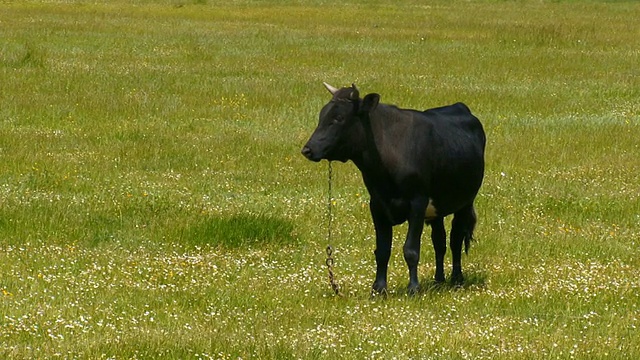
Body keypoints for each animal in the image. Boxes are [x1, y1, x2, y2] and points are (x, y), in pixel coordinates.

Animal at [300, 83, 484, 294]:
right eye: (322, 115)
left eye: (339, 118)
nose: (307, 149)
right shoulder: (377, 204)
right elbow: (382, 251)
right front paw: (379, 289)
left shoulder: (417, 202)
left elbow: (411, 250)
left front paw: (413, 289)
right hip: (436, 208)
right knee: (439, 241)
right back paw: (438, 280)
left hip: (465, 201)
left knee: (455, 239)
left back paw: (457, 279)